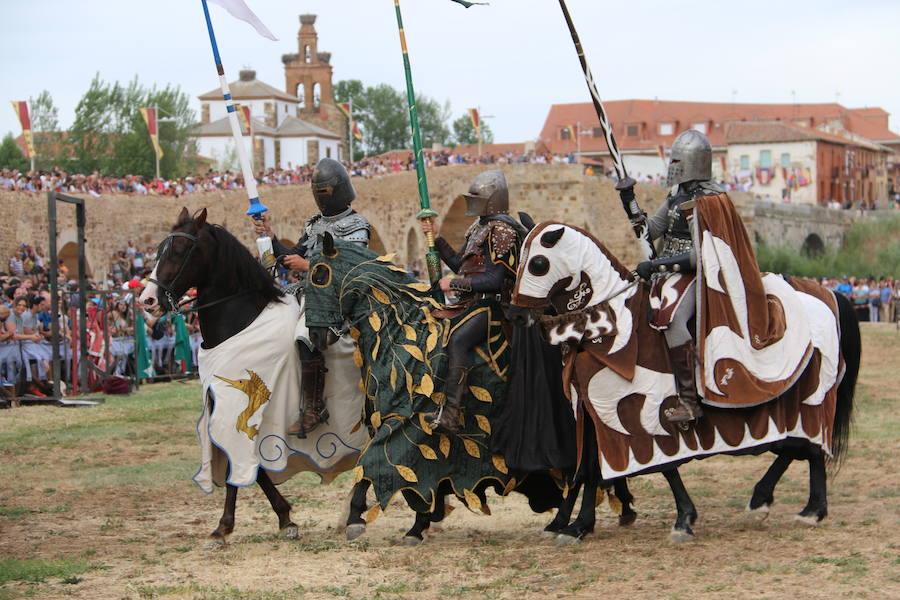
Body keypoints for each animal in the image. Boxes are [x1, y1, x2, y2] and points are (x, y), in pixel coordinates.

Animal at [140, 209, 376, 548]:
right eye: (159, 249)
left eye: (181, 250)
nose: (147, 300)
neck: (241, 321)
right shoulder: (231, 409)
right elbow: (250, 465)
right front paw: (282, 518)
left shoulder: (238, 407)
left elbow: (238, 462)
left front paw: (225, 526)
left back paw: (357, 516)